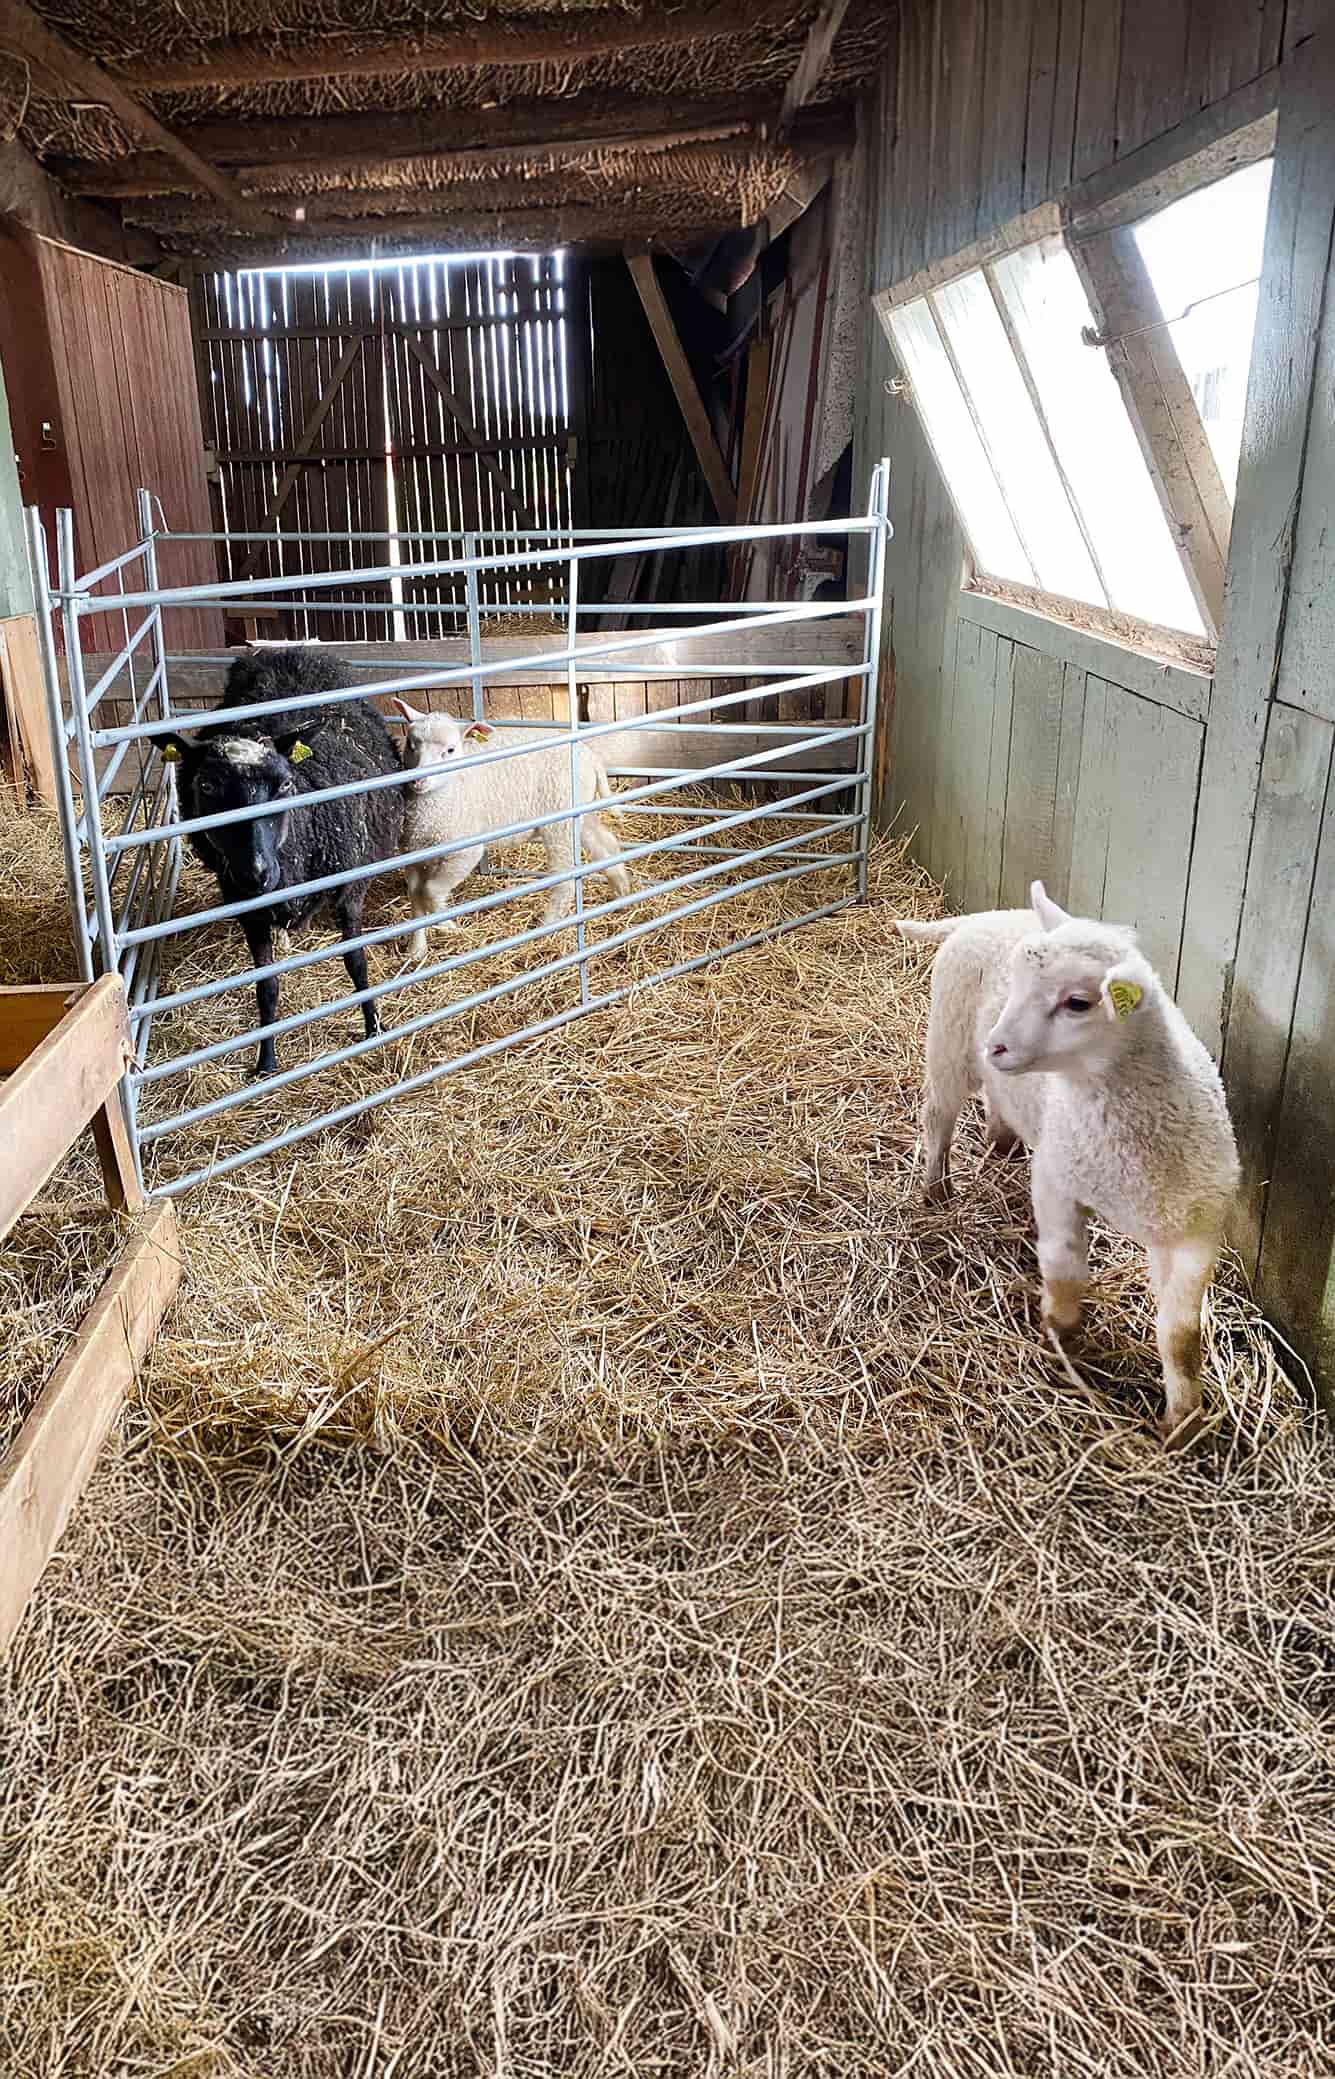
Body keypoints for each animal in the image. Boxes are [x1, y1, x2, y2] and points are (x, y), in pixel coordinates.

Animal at [161, 646, 405, 1078]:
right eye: (206, 785)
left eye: (285, 784)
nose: (256, 874)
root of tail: (287, 650)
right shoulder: (246, 908)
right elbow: (267, 986)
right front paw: (267, 1059)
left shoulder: (351, 887)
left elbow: (357, 962)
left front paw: (373, 1027)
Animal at [387, 701, 632, 959]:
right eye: (411, 745)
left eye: (450, 750)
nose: (418, 780)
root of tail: (590, 757)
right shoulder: (412, 857)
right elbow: (416, 899)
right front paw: (416, 950)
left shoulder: (464, 854)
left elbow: (430, 892)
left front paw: (447, 925)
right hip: (579, 814)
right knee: (605, 844)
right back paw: (622, 890)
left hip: (559, 823)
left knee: (565, 878)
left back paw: (547, 925)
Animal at [895, 882, 1240, 1443]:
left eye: (1078, 1003)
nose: (996, 1045)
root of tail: (985, 915)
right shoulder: (1058, 1180)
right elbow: (1064, 1267)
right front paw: (1060, 1339)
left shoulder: (1195, 1230)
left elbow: (1182, 1336)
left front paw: (1183, 1421)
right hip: (947, 1045)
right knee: (938, 1119)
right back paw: (935, 1189)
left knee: (998, 1098)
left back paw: (1001, 1139)